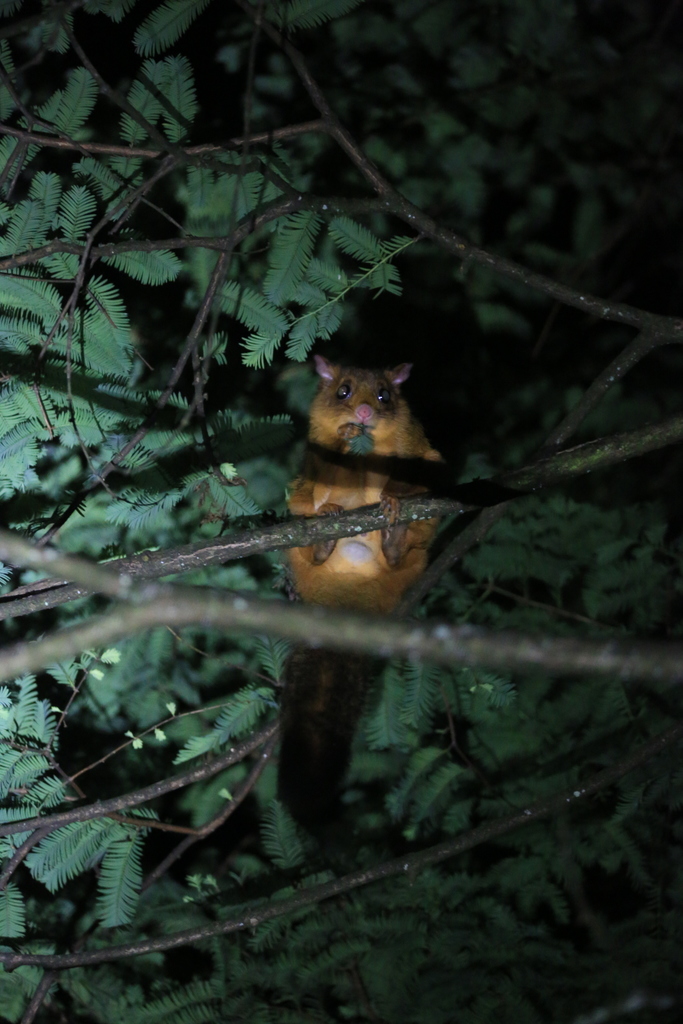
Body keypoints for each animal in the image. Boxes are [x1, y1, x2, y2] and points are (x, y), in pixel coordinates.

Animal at [278, 354, 443, 822]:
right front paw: (348, 436)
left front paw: (392, 497)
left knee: (412, 540)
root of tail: (347, 595)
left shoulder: (418, 447)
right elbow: (325, 472)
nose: (365, 413)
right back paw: (322, 542)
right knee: (303, 514)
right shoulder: (314, 457)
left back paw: (394, 540)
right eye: (344, 391)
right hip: (296, 526)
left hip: (418, 554)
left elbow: (418, 468)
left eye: (385, 395)